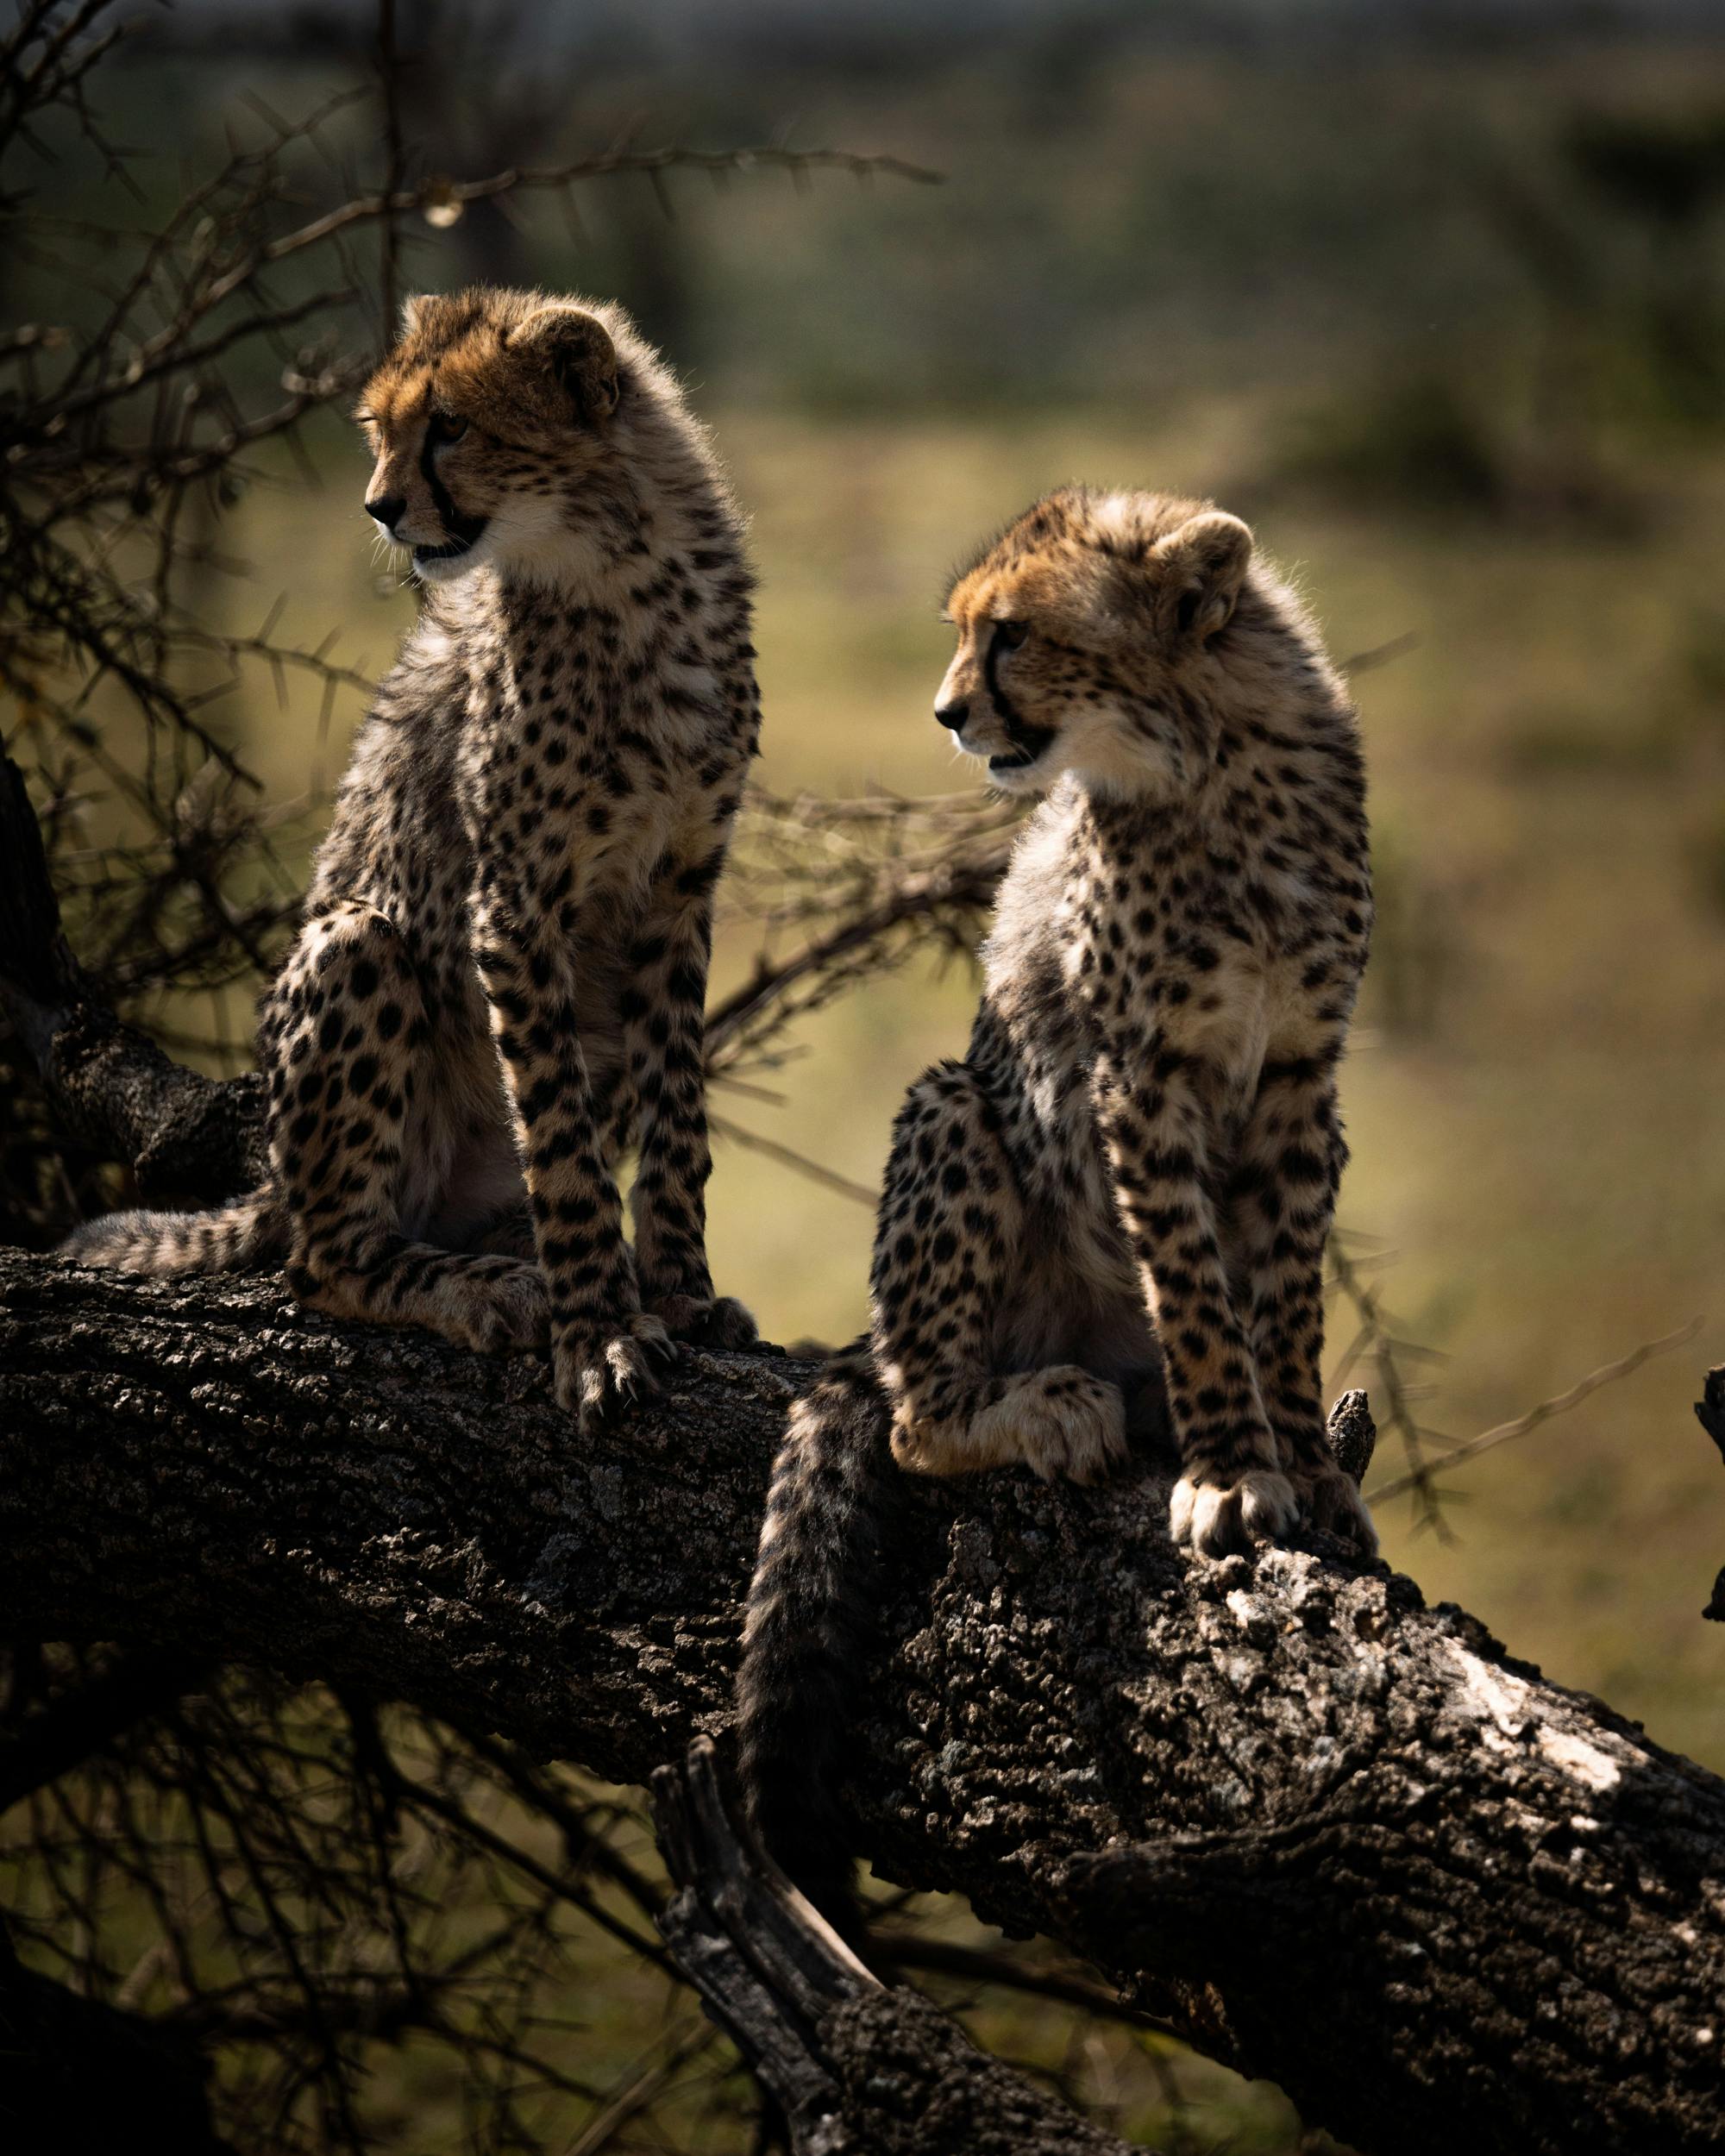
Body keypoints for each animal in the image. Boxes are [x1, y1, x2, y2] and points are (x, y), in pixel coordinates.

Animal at [64, 287, 759, 1426]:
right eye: (377, 428)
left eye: (451, 426)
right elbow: (562, 1144)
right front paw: (596, 1332)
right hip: (359, 948)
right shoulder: (515, 904)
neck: (621, 572)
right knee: (321, 1259)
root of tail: (275, 1180)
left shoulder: (676, 893)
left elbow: (677, 1121)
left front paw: (680, 1293)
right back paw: (494, 1287)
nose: (381, 508)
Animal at [737, 484, 1376, 1917]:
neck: (1212, 762)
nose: (944, 713)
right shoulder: (1138, 1078)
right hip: (957, 1111)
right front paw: (1231, 1472)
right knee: (913, 1414)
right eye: (966, 631)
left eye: (1014, 634)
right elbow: (1199, 1296)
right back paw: (1044, 1407)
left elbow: (1284, 1308)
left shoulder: (1303, 1082)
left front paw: (1304, 1465)